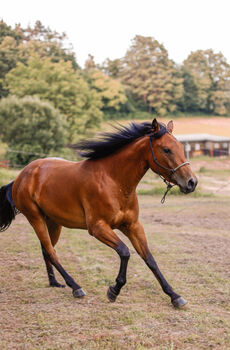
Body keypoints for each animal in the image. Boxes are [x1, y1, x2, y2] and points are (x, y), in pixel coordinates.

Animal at [0, 119, 198, 308]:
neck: (114, 181)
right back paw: (76, 287)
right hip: (36, 219)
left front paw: (175, 296)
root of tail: (20, 177)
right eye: (166, 149)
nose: (191, 182)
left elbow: (149, 259)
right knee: (51, 252)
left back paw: (54, 282)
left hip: (53, 222)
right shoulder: (98, 227)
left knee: (46, 251)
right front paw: (114, 290)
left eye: (181, 148)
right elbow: (125, 252)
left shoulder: (132, 226)